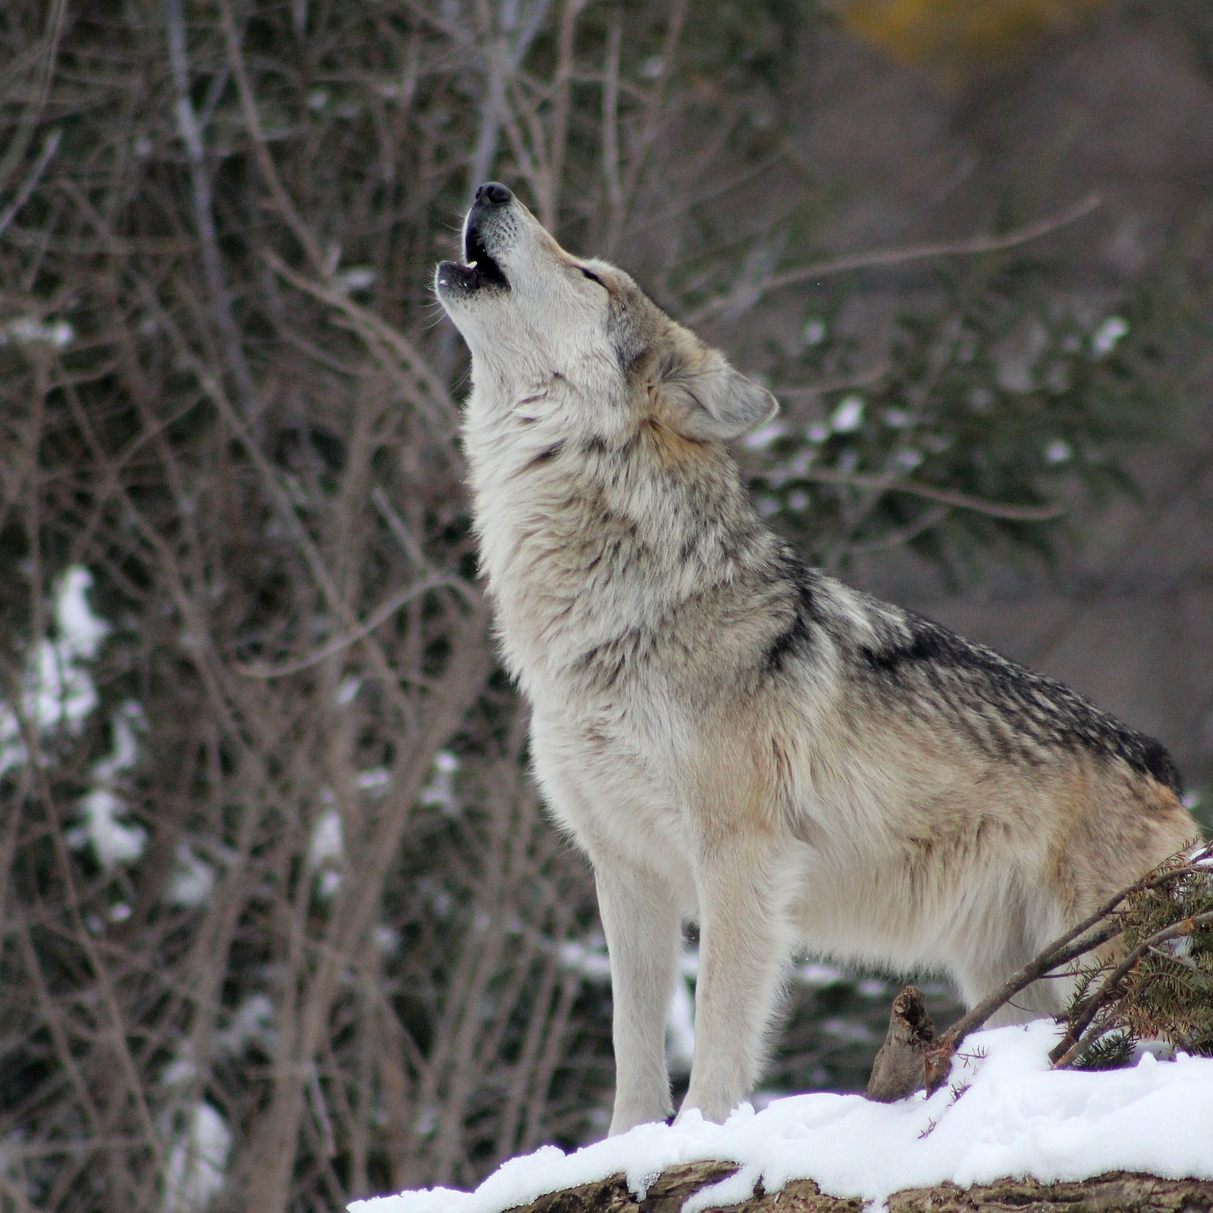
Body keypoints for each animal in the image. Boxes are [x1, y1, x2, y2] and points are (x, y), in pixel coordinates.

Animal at [434, 182, 1197, 1134]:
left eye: (590, 274)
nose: (489, 188)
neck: (621, 611)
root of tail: (1160, 762)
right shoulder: (626, 869)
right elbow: (632, 1047)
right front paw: (625, 1147)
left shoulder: (740, 858)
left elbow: (718, 1027)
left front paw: (700, 1137)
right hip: (1012, 979)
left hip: (1103, 963)